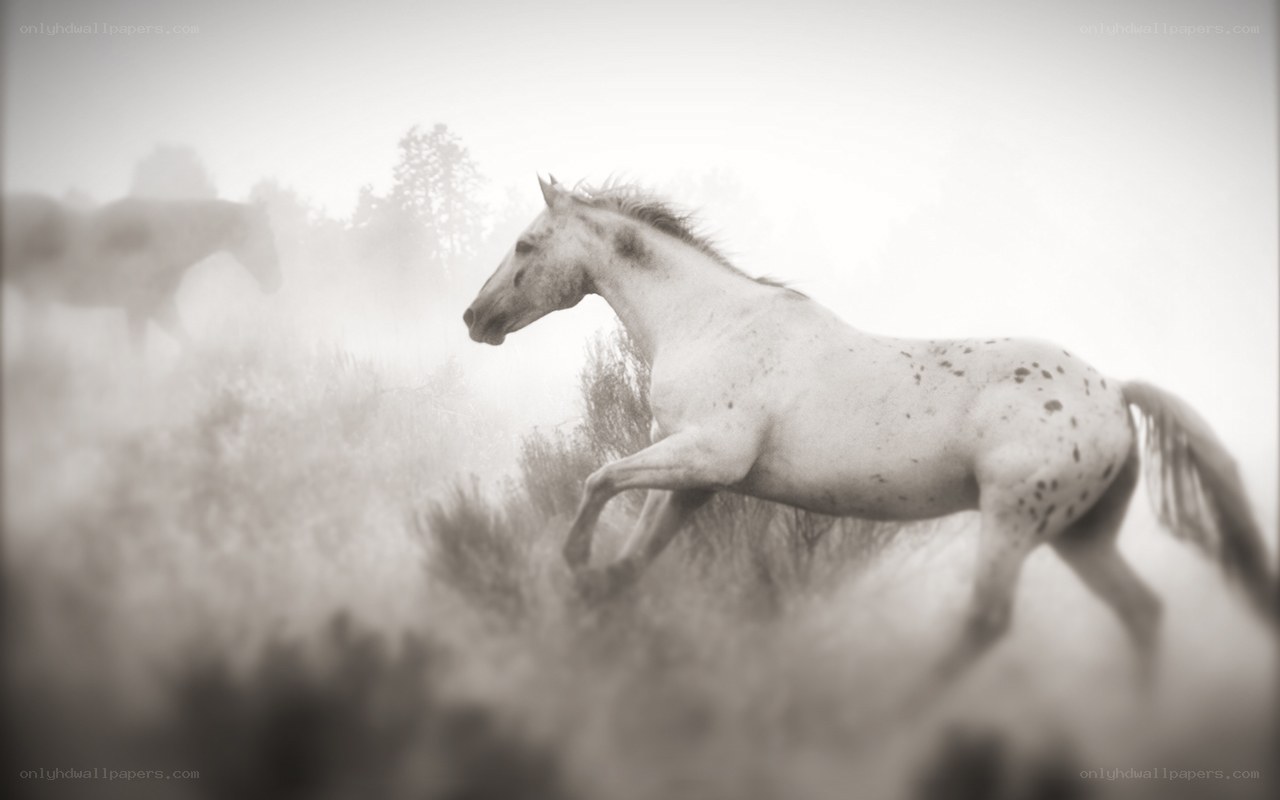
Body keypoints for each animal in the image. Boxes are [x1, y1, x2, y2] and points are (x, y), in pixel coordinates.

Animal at [2, 193, 281, 349]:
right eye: (264, 237)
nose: (276, 281)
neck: (160, 243)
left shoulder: (161, 308)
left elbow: (190, 345)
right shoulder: (137, 311)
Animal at [463, 176, 1274, 688]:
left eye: (527, 244)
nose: (474, 318)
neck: (713, 323)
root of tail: (1112, 390)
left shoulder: (707, 456)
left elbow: (597, 477)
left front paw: (573, 560)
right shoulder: (696, 480)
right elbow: (631, 558)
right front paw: (596, 606)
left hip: (1014, 520)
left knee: (985, 623)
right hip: (1082, 536)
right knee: (1141, 612)